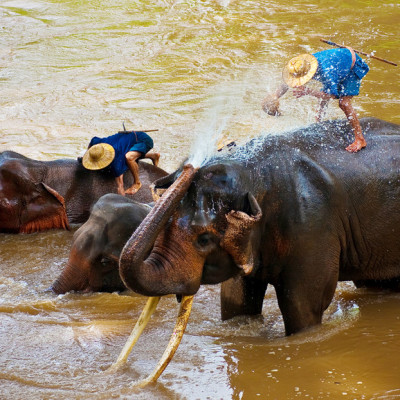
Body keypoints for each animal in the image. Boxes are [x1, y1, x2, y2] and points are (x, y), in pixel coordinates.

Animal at [119, 117, 400, 336]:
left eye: (204, 239)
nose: (191, 166)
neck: (255, 174)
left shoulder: (314, 226)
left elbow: (304, 305)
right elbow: (236, 300)